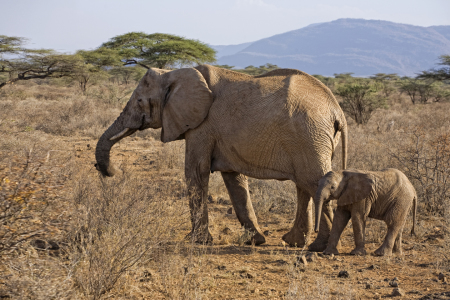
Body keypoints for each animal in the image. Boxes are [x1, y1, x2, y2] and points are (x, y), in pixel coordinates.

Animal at [95, 65, 348, 251]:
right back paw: (296, 243)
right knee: (303, 184)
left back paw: (318, 247)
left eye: (139, 101)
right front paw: (254, 241)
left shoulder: (202, 126)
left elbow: (196, 171)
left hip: (309, 135)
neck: (174, 73)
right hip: (309, 140)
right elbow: (233, 179)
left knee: (313, 183)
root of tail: (338, 111)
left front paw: (197, 241)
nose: (109, 171)